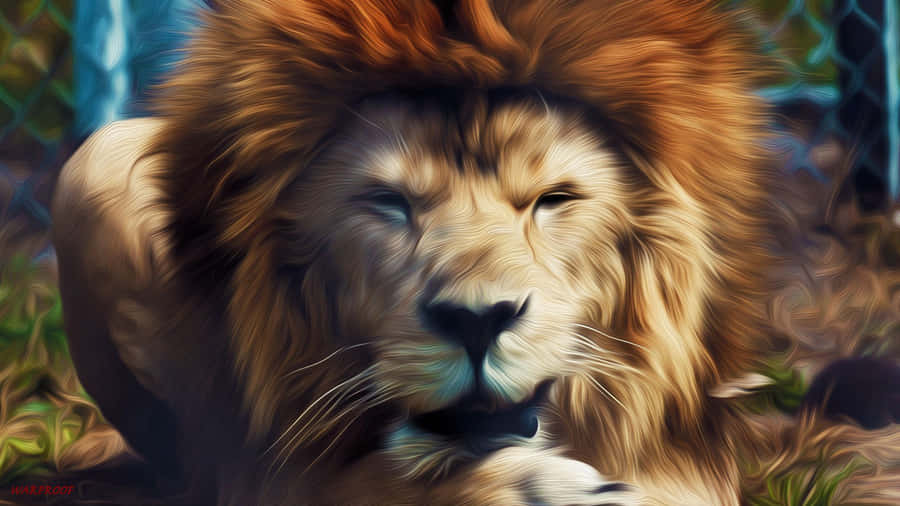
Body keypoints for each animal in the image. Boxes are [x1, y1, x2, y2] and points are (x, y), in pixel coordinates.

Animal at [51, 0, 780, 504]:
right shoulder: (261, 470)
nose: (477, 321)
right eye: (388, 202)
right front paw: (535, 490)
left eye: (552, 200)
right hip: (94, 160)